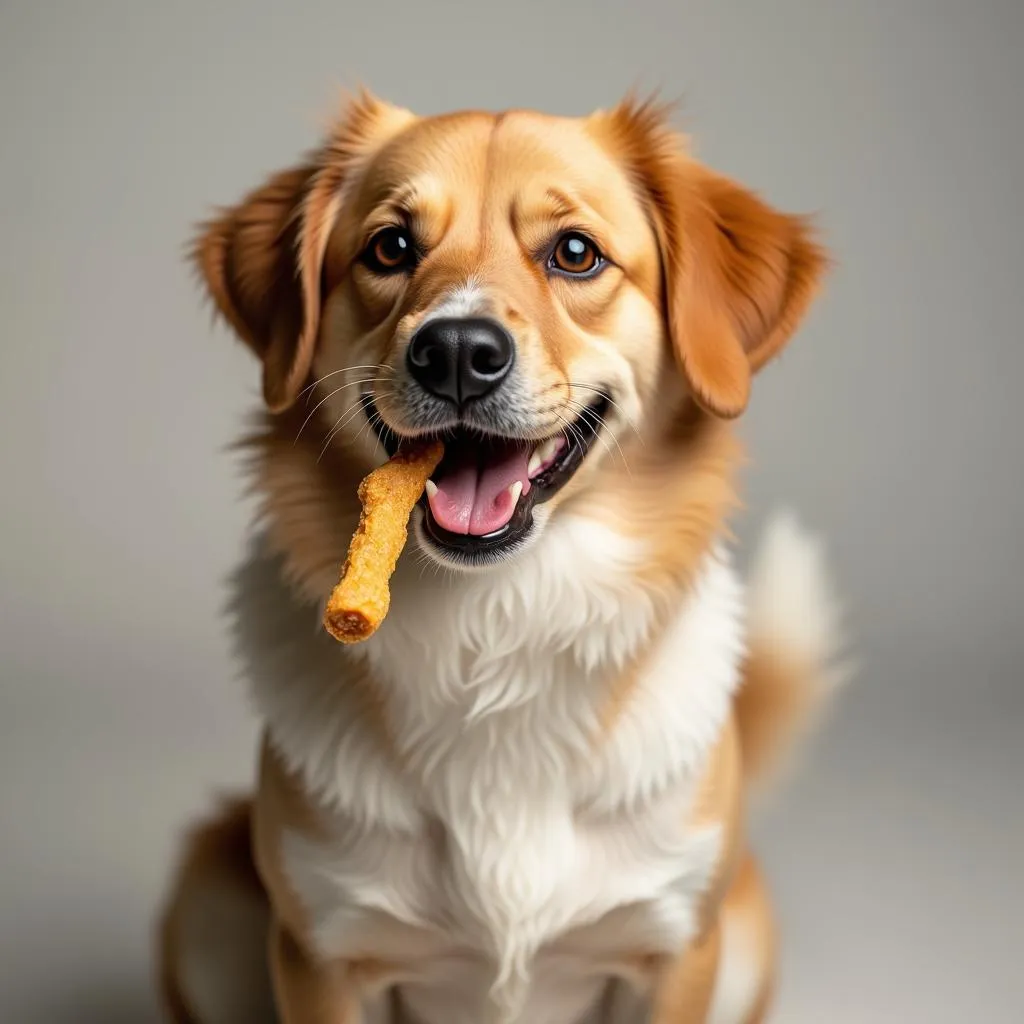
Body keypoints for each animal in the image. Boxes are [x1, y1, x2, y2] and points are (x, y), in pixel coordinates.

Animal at [155, 90, 843, 1024]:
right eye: (391, 246)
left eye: (575, 253)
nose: (454, 351)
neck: (497, 625)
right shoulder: (323, 952)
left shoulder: (673, 950)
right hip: (206, 908)